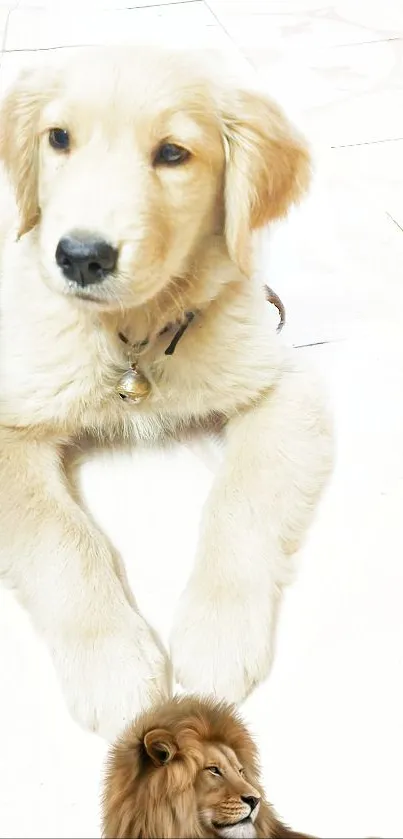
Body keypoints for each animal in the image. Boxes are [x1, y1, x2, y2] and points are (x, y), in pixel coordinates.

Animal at [0, 47, 334, 740]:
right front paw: (114, 666)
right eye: (59, 138)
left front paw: (218, 635)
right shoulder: (11, 419)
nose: (81, 256)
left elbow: (239, 500)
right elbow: (61, 536)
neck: (133, 335)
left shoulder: (281, 387)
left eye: (173, 153)